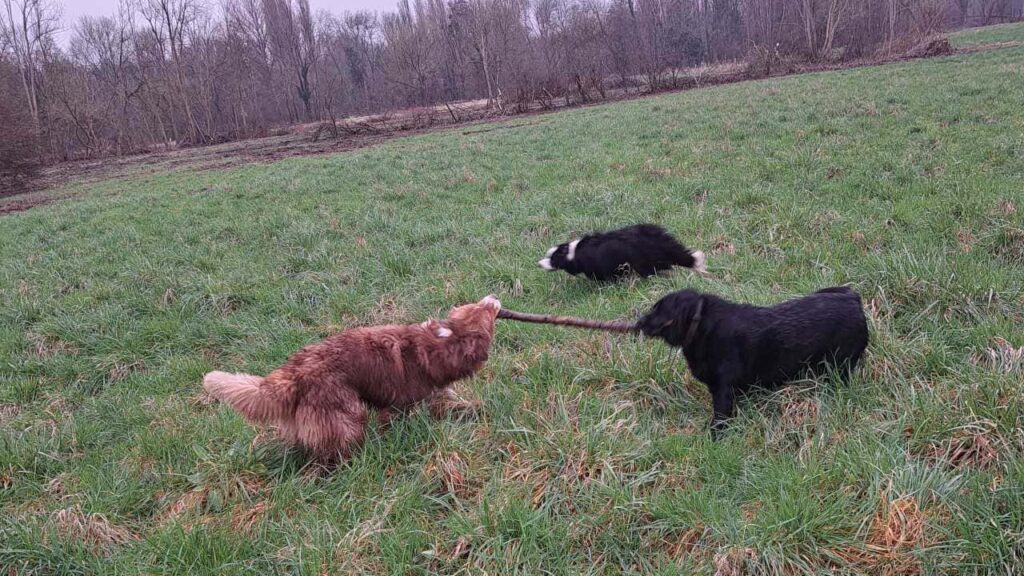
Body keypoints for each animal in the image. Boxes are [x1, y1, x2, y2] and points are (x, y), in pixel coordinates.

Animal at [202, 293, 499, 459]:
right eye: (485, 311)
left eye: (475, 305)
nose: (493, 296)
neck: (437, 345)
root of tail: (293, 372)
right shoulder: (397, 405)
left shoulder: (434, 395)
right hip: (347, 414)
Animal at [634, 284, 868, 432]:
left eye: (658, 310)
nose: (639, 321)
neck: (702, 327)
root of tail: (853, 300)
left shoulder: (723, 390)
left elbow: (719, 421)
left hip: (839, 366)